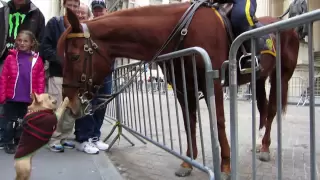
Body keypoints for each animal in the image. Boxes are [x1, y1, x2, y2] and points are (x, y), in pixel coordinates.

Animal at [59, 2, 300, 179]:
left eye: (74, 56)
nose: (70, 102)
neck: (183, 30)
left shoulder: (212, 82)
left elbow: (219, 121)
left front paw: (225, 165)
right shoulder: (183, 87)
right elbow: (188, 121)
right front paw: (188, 162)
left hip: (282, 76)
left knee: (272, 110)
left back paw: (266, 148)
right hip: (258, 79)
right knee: (263, 108)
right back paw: (260, 145)